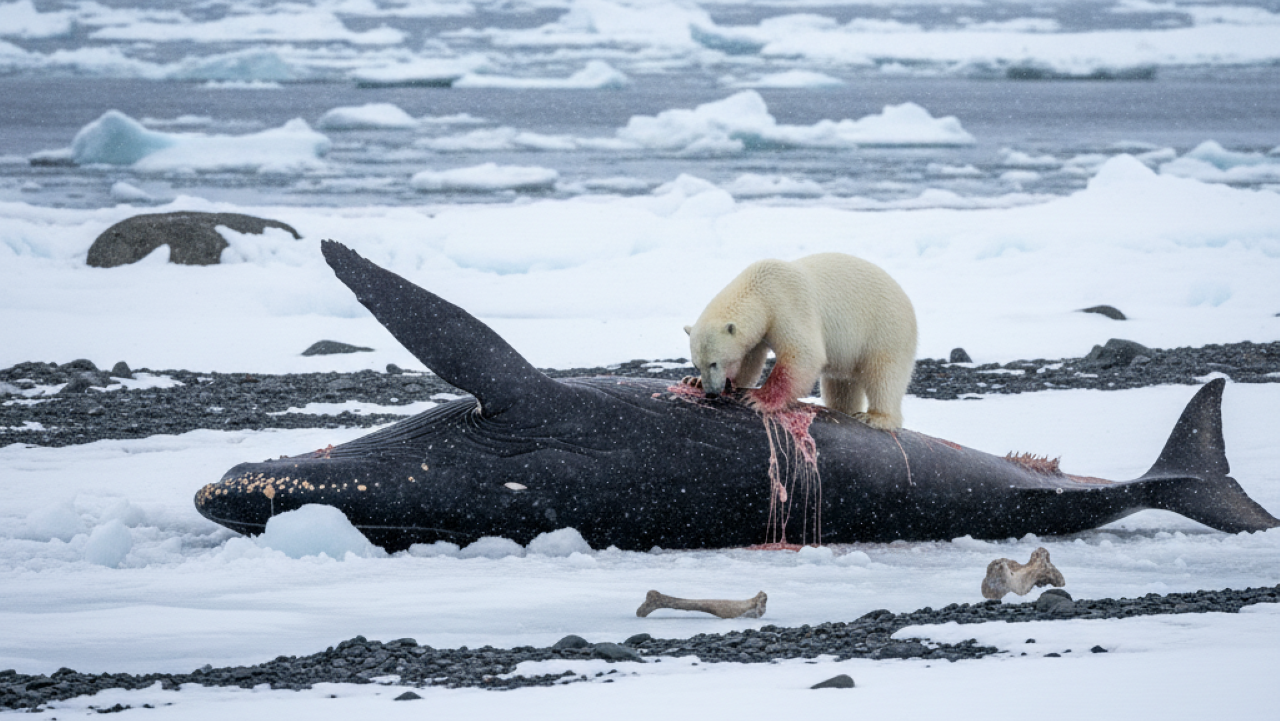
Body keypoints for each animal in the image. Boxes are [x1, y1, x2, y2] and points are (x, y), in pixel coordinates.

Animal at [684, 252, 917, 430]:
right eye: (697, 364)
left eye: (714, 363)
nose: (711, 392)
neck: (760, 289)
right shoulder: (761, 327)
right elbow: (749, 362)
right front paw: (693, 381)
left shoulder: (787, 304)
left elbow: (803, 353)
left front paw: (758, 398)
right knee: (841, 386)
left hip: (886, 330)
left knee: (884, 375)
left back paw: (876, 417)